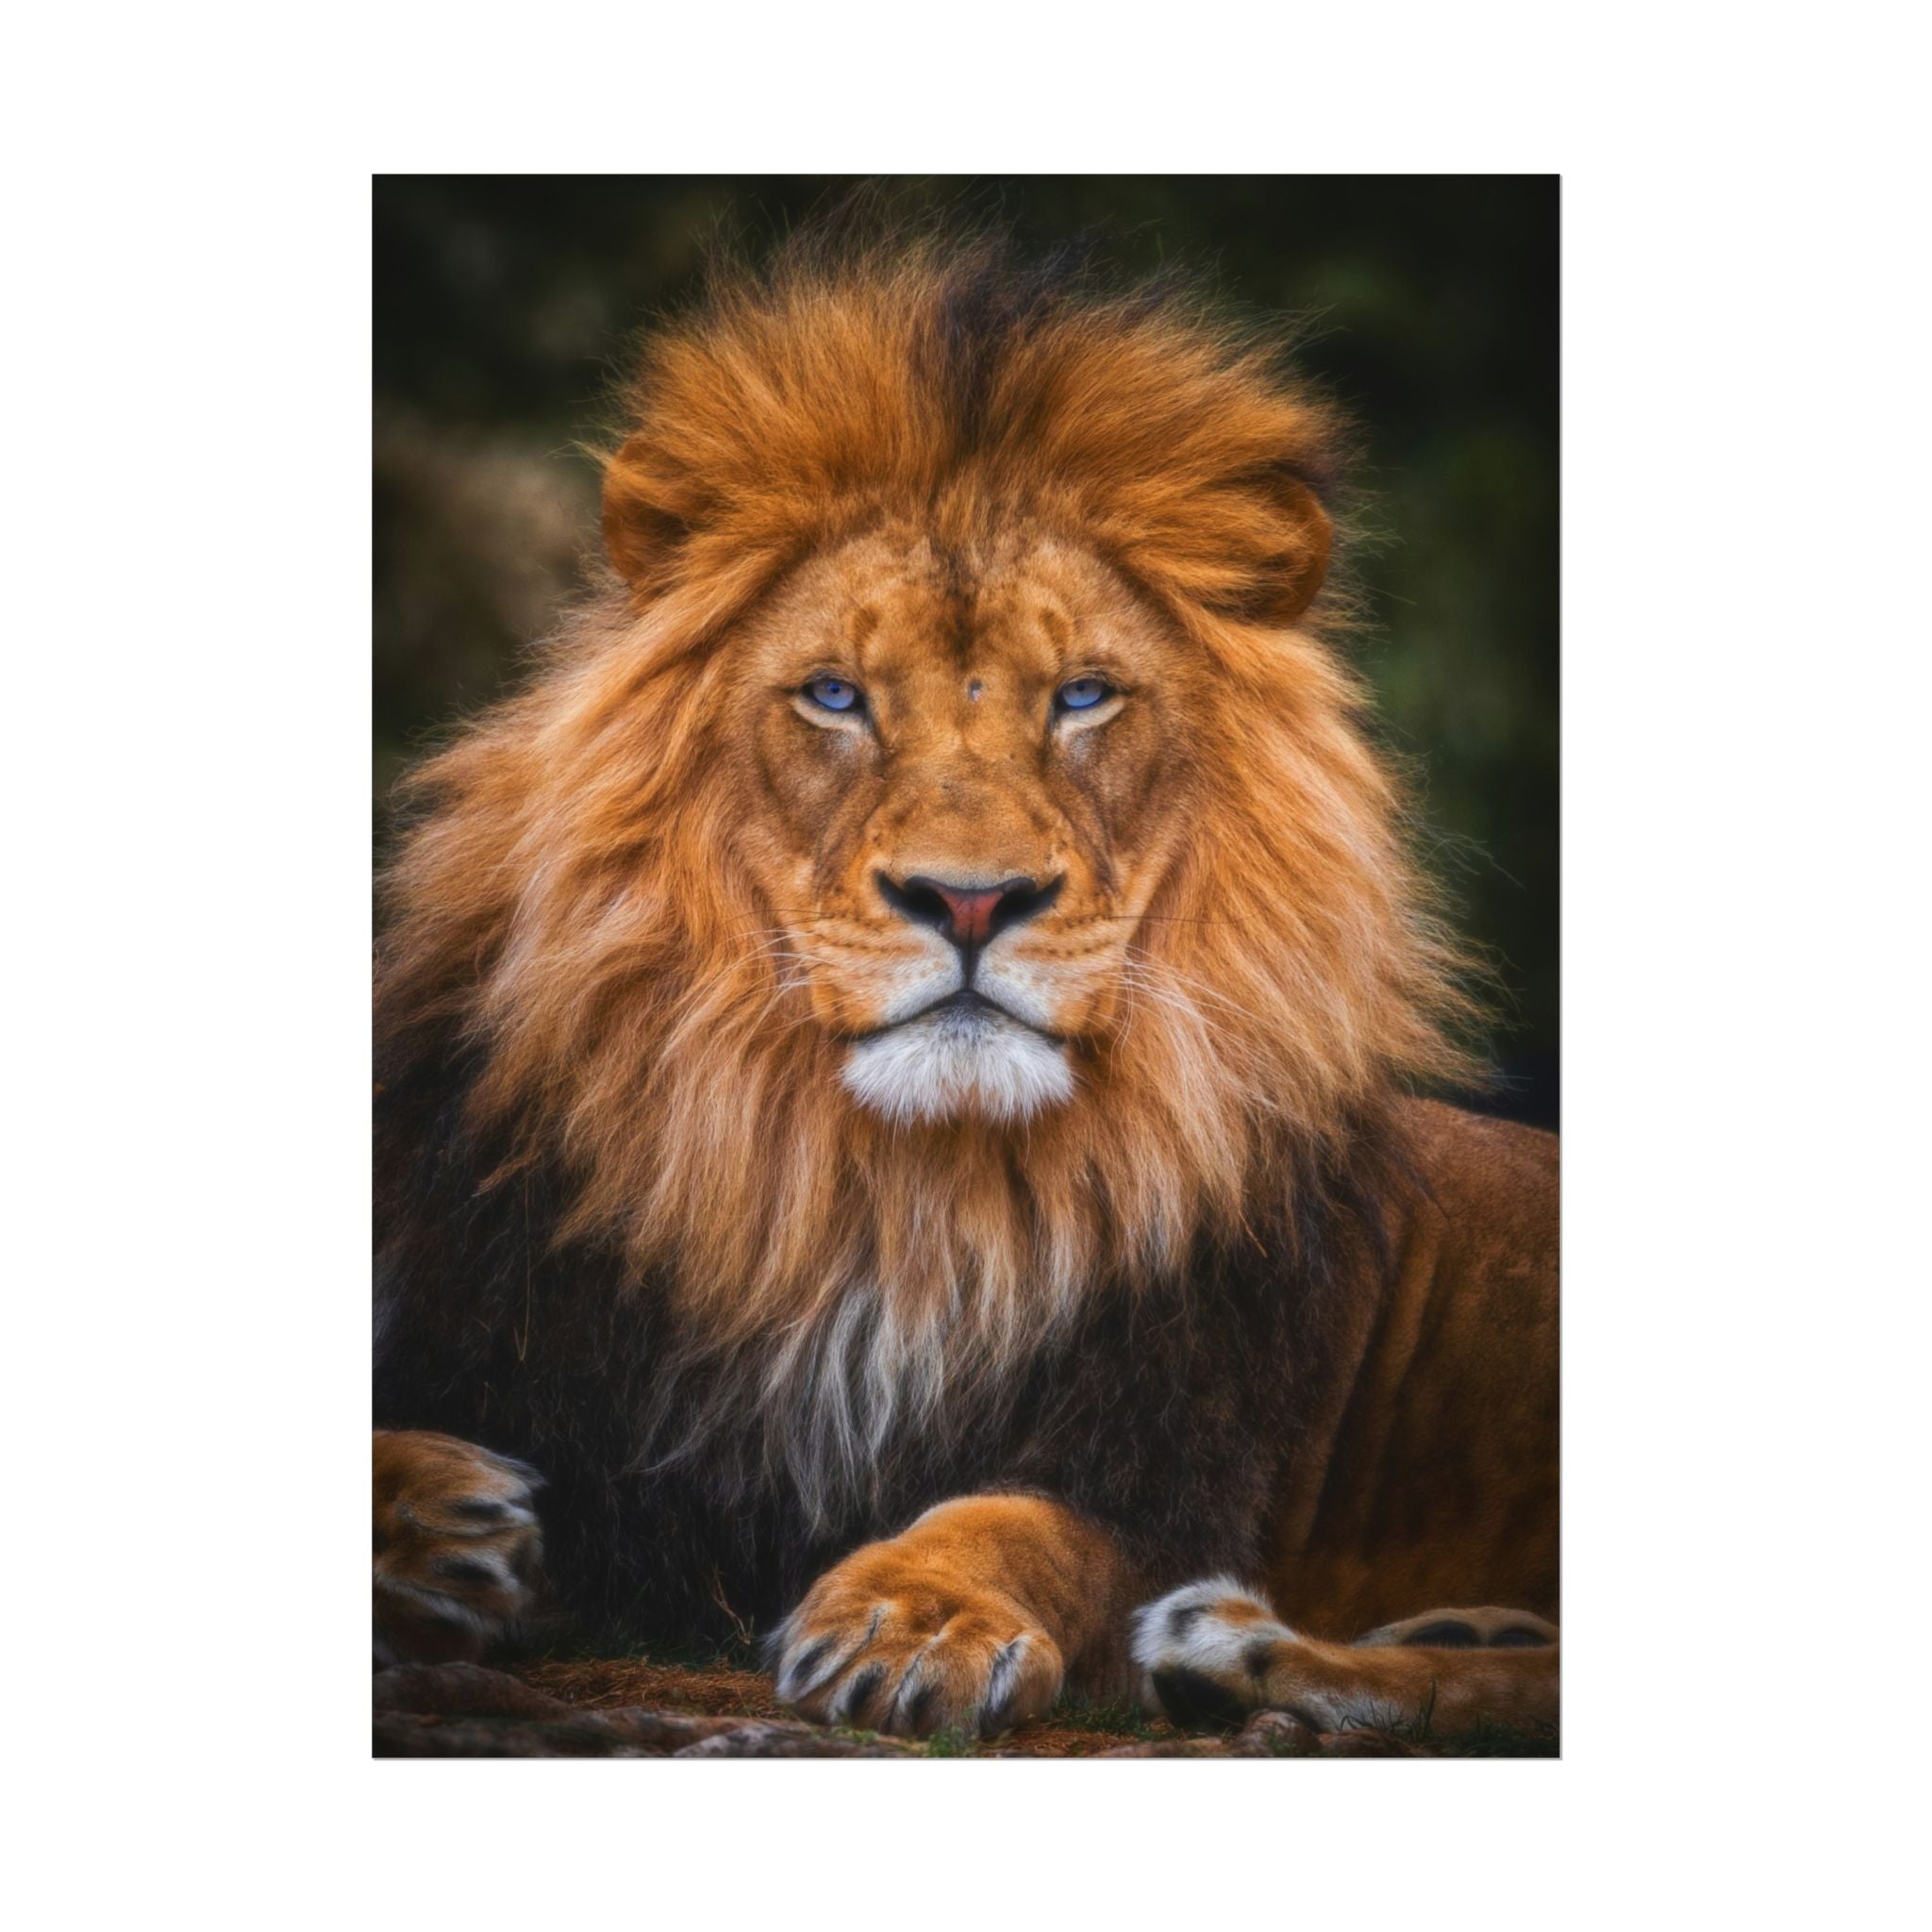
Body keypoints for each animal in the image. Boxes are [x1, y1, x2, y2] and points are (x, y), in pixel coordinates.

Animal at [372, 229, 1558, 1747]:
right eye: (833, 695)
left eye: (1083, 696)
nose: (972, 900)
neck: (888, 1196)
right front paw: (439, 1521)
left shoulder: (1168, 1463)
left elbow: (1020, 1523)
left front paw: (912, 1616)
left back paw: (1242, 1650)